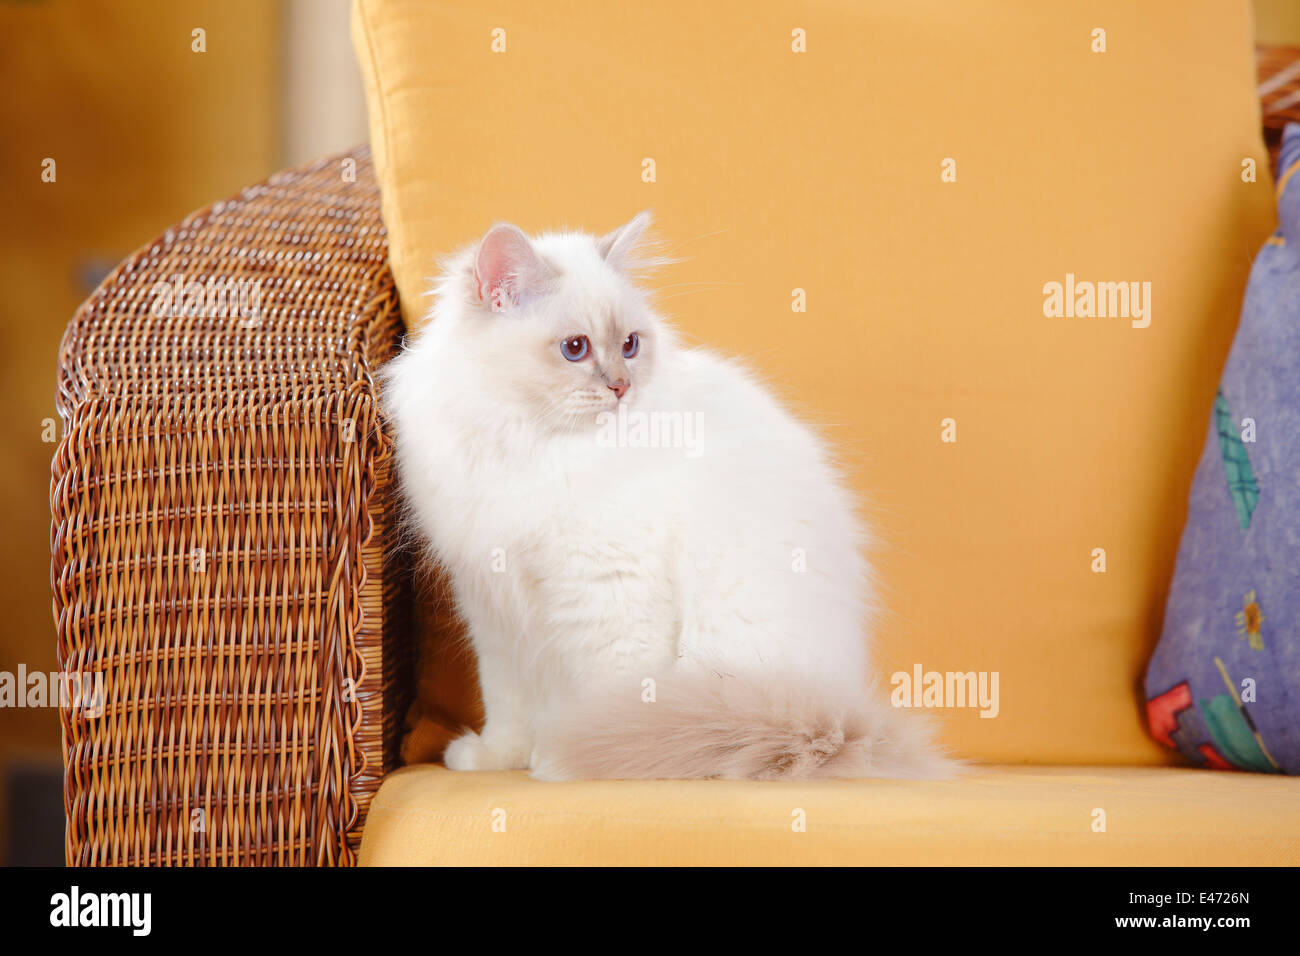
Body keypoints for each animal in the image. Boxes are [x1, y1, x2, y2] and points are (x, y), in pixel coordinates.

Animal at [379, 213, 951, 780]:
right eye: (575, 348)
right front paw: (498, 759)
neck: (532, 444)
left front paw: (577, 757)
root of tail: (833, 712)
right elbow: (506, 703)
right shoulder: (494, 608)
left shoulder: (610, 591)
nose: (621, 387)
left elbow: (608, 696)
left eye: (631, 345)